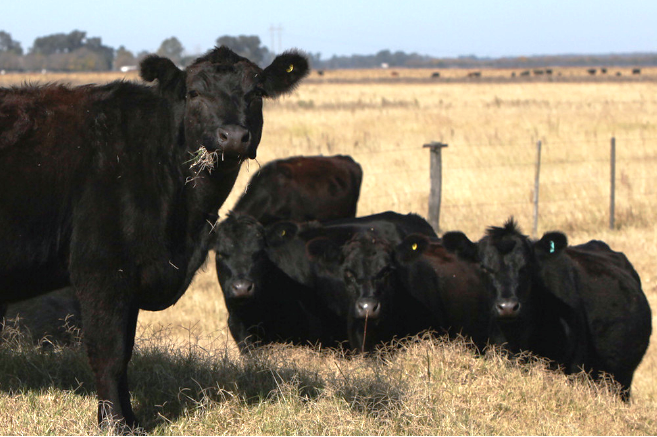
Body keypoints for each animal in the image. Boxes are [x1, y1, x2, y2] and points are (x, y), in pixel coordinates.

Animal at [0, 46, 310, 428]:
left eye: (256, 93)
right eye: (194, 93)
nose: (233, 136)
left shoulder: (133, 278)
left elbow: (126, 352)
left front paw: (132, 419)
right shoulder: (102, 269)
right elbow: (109, 352)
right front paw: (116, 425)